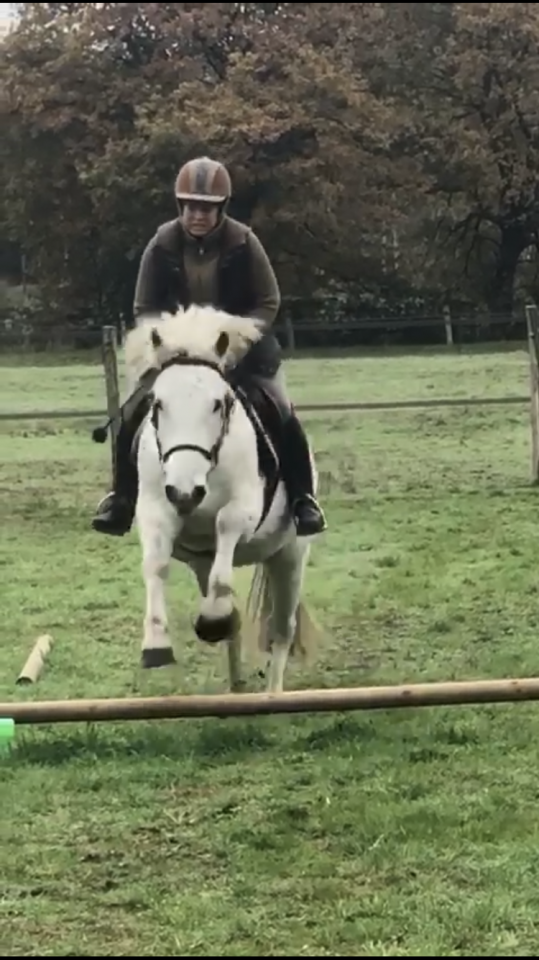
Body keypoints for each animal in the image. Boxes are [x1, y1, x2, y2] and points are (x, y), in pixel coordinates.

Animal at [122, 304, 322, 695]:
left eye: (219, 404)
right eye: (157, 404)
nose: (184, 492)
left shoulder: (242, 510)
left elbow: (226, 528)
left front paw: (211, 622)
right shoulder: (155, 510)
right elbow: (155, 566)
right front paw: (155, 645)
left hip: (290, 554)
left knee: (281, 629)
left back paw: (271, 695)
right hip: (203, 561)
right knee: (235, 618)